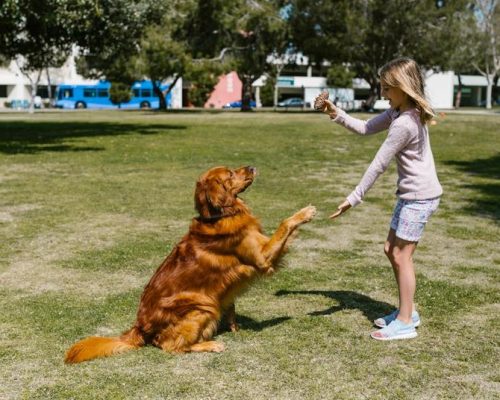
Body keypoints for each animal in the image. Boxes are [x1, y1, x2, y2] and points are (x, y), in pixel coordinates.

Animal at [64, 166, 316, 362]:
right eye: (230, 173)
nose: (252, 167)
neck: (219, 215)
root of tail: (139, 328)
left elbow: (231, 306)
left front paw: (235, 326)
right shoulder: (262, 257)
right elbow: (285, 224)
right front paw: (304, 212)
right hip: (201, 306)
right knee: (171, 346)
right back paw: (210, 344)